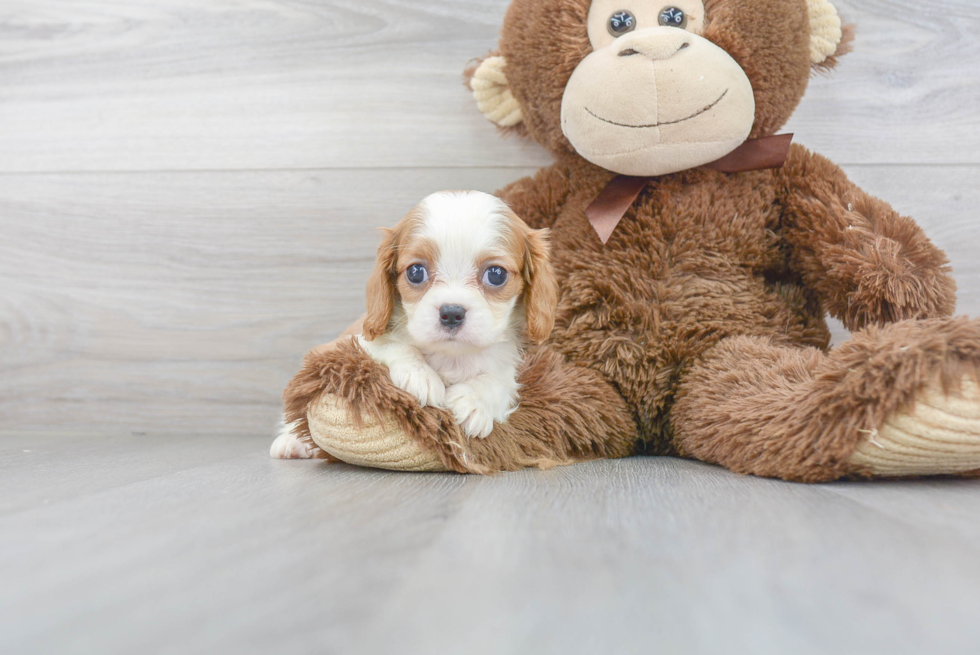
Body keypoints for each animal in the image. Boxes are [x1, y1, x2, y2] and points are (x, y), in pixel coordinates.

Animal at [358, 192, 556, 440]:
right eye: (415, 272)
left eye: (496, 274)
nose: (451, 313)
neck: (453, 356)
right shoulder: (358, 340)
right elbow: (390, 345)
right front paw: (419, 373)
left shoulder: (505, 370)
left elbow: (498, 381)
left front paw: (474, 400)